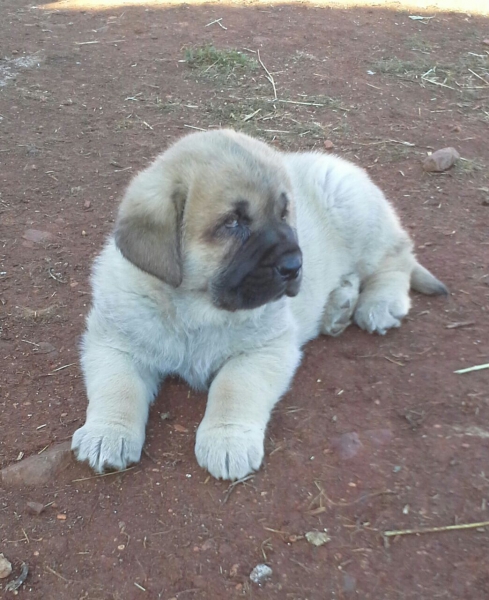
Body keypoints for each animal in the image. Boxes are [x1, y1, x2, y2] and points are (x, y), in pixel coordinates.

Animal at [72, 129, 446, 480]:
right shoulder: (113, 343)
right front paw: (107, 434)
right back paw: (338, 305)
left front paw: (227, 441)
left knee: (397, 255)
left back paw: (379, 303)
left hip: (356, 214)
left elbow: (233, 388)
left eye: (284, 213)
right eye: (232, 223)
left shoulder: (265, 349)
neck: (193, 311)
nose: (295, 265)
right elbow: (117, 387)